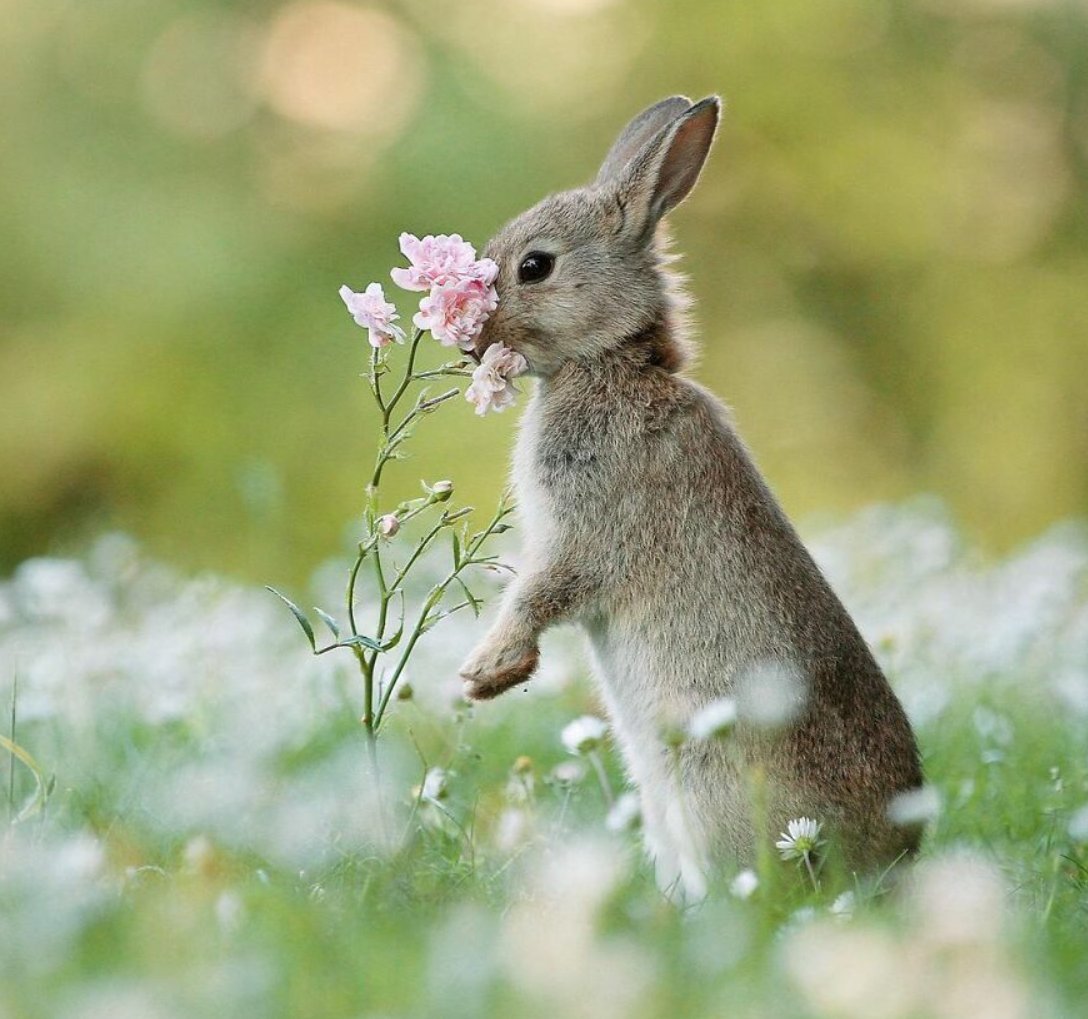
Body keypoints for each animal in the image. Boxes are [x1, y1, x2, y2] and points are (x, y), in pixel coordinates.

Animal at [454, 91, 922, 896]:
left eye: (535, 266)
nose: (468, 342)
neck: (611, 363)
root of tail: (888, 863)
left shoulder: (587, 532)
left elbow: (541, 591)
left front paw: (488, 674)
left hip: (708, 776)